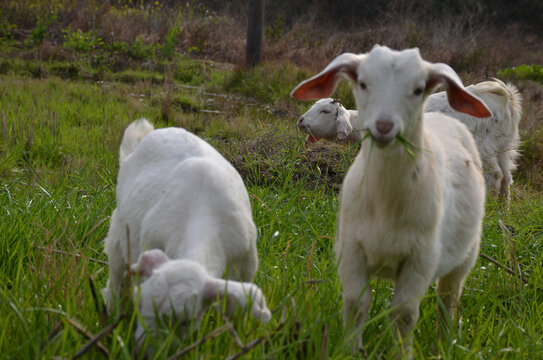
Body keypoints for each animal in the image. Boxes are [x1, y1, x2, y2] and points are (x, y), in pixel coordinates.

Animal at [103, 119, 272, 348]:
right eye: (140, 306)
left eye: (185, 321)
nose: (142, 352)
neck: (203, 212)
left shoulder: (245, 262)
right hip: (119, 233)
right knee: (116, 275)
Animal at [294, 45, 488, 358]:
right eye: (362, 83)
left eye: (419, 89)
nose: (384, 126)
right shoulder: (351, 250)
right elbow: (356, 305)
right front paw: (351, 350)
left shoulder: (420, 260)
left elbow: (404, 314)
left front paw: (401, 352)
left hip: (463, 259)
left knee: (447, 301)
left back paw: (443, 344)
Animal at [298, 78, 524, 200]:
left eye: (326, 111)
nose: (301, 120)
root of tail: (507, 98)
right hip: (505, 146)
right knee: (507, 177)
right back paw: (503, 209)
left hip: (484, 146)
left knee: (494, 175)